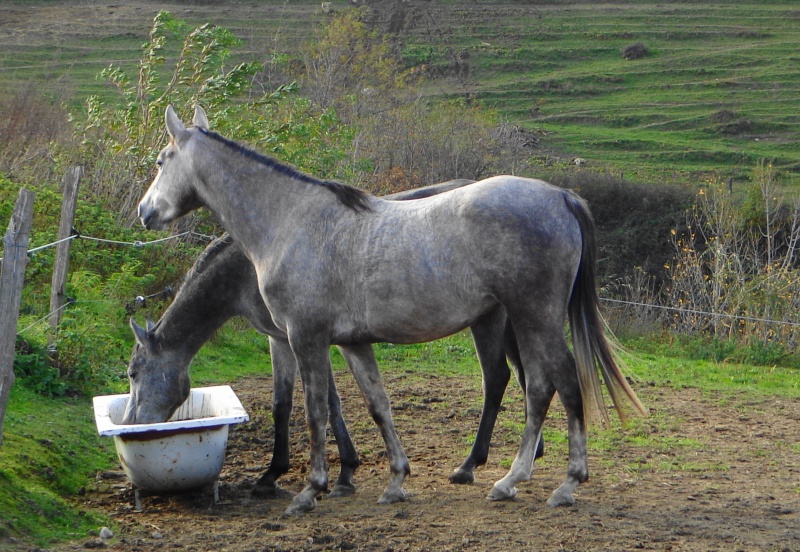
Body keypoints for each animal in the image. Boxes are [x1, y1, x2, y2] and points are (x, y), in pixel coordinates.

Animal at [125, 179, 548, 498]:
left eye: (132, 373)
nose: (133, 424)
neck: (249, 263)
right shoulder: (288, 339)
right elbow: (298, 402)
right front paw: (328, 471)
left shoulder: (300, 337)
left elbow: (319, 404)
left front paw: (322, 472)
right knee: (521, 376)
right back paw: (532, 452)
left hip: (490, 320)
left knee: (498, 379)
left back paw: (472, 464)